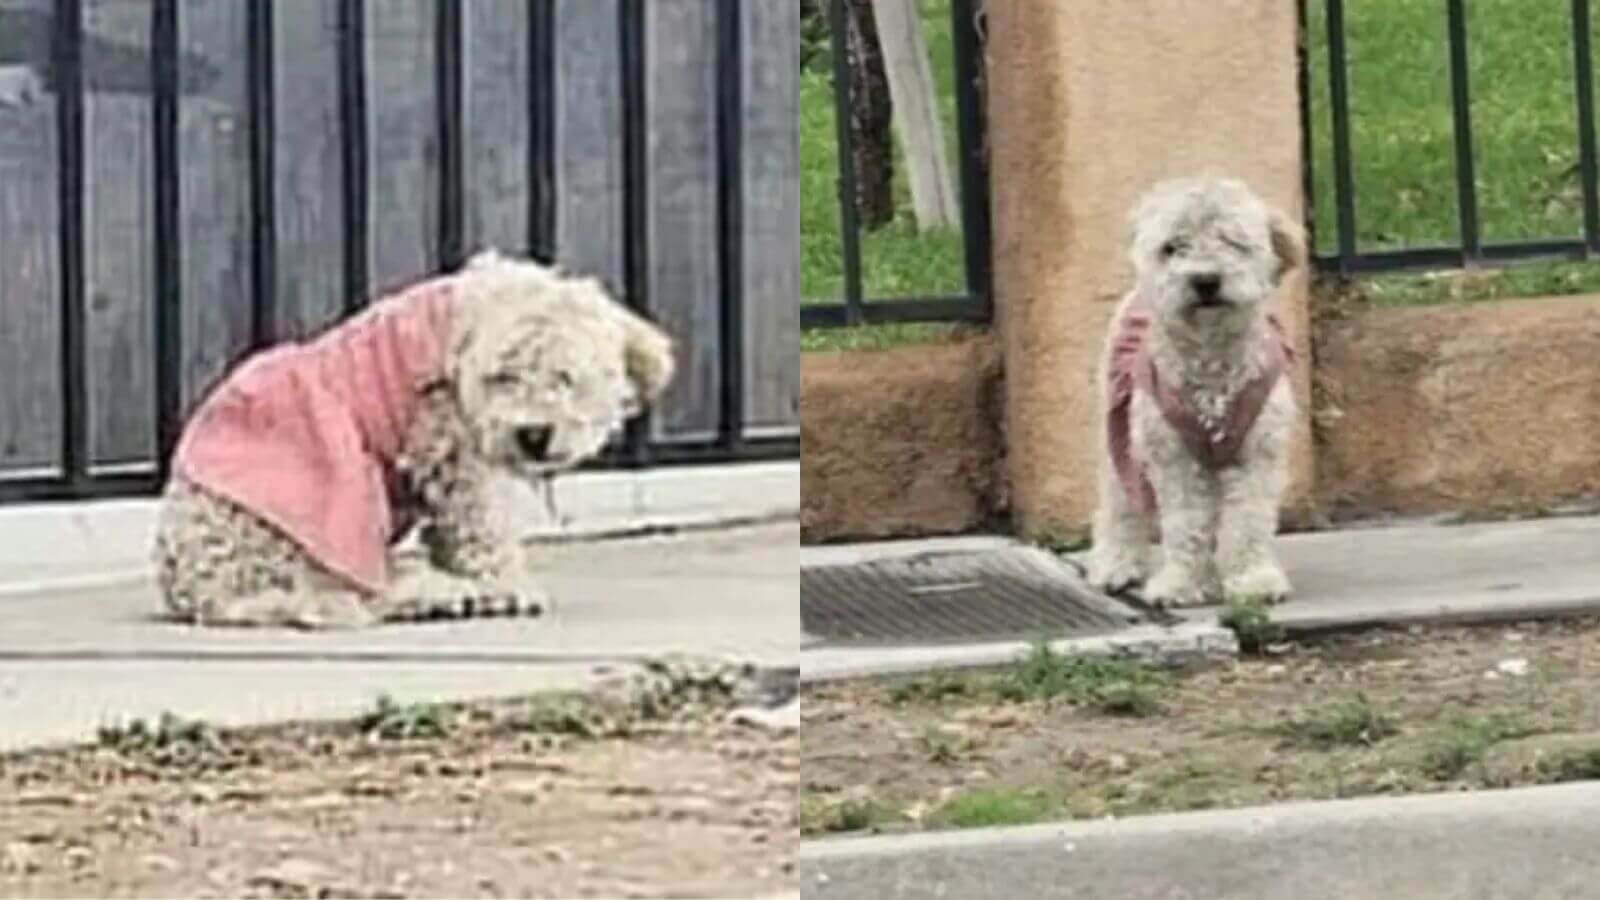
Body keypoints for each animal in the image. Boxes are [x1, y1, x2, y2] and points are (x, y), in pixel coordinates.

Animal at [151, 248, 675, 627]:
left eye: (565, 377)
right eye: (502, 377)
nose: (533, 434)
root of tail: (194, 588)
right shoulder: (451, 447)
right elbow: (481, 523)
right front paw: (507, 585)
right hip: (303, 528)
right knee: (353, 592)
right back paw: (433, 594)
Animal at [1081, 177, 1305, 605]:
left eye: (1233, 241)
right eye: (1172, 247)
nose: (1204, 280)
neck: (1211, 358)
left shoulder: (1258, 455)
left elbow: (1248, 521)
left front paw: (1252, 579)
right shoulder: (1173, 459)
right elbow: (1185, 525)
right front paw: (1182, 584)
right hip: (1119, 436)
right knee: (1120, 505)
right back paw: (1117, 564)